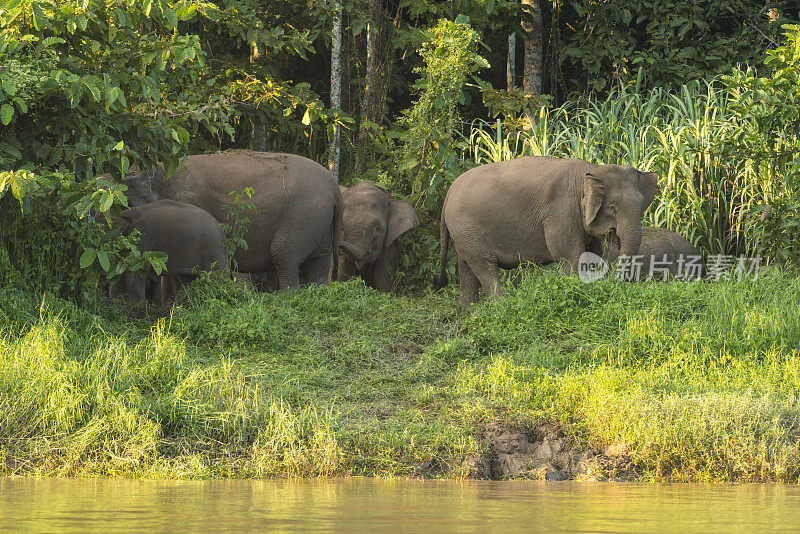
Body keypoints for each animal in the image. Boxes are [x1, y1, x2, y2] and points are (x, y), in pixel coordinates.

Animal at [123, 151, 342, 288]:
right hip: (319, 222)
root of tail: (335, 187)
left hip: (303, 216)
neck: (162, 169)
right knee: (319, 264)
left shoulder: (186, 202)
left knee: (283, 255)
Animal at [434, 156, 660, 306]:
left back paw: (470, 311)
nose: (612, 280)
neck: (592, 170)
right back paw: (504, 305)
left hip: (463, 231)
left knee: (467, 266)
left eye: (641, 203)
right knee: (485, 263)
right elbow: (569, 255)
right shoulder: (561, 211)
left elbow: (593, 252)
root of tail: (448, 194)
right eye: (612, 207)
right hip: (465, 226)